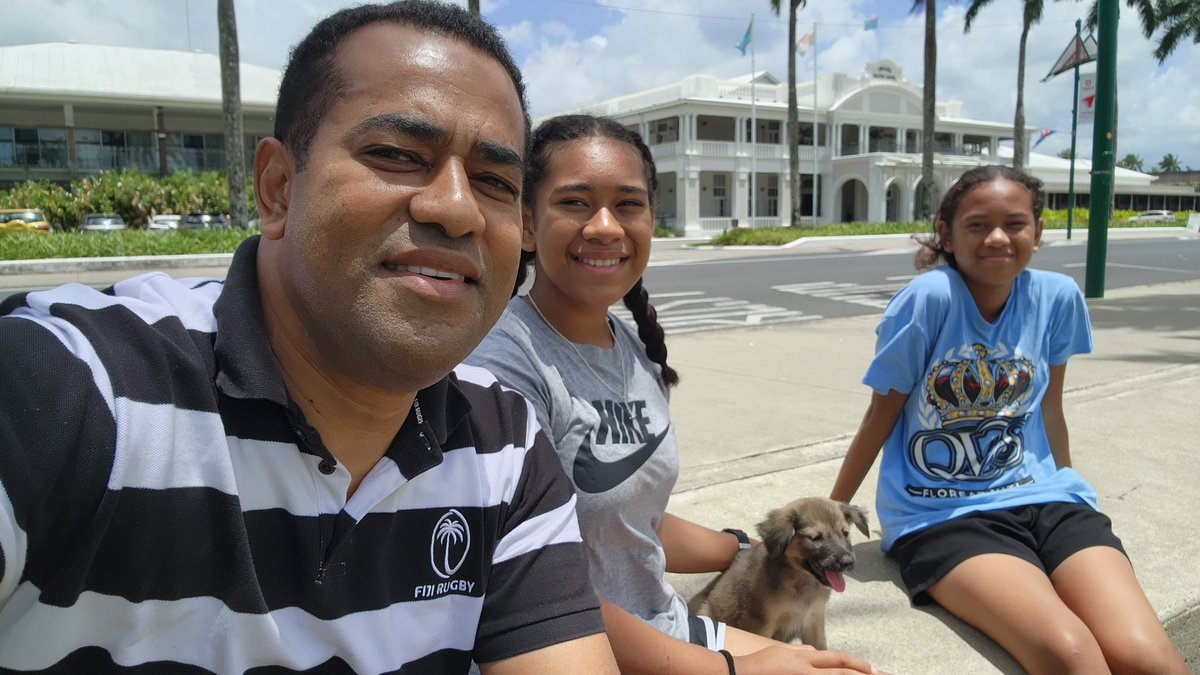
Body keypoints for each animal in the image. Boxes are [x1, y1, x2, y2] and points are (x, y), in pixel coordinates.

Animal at [691, 497, 868, 648]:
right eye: (815, 538)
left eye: (845, 533)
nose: (848, 562)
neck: (802, 583)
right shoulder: (761, 625)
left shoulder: (813, 620)